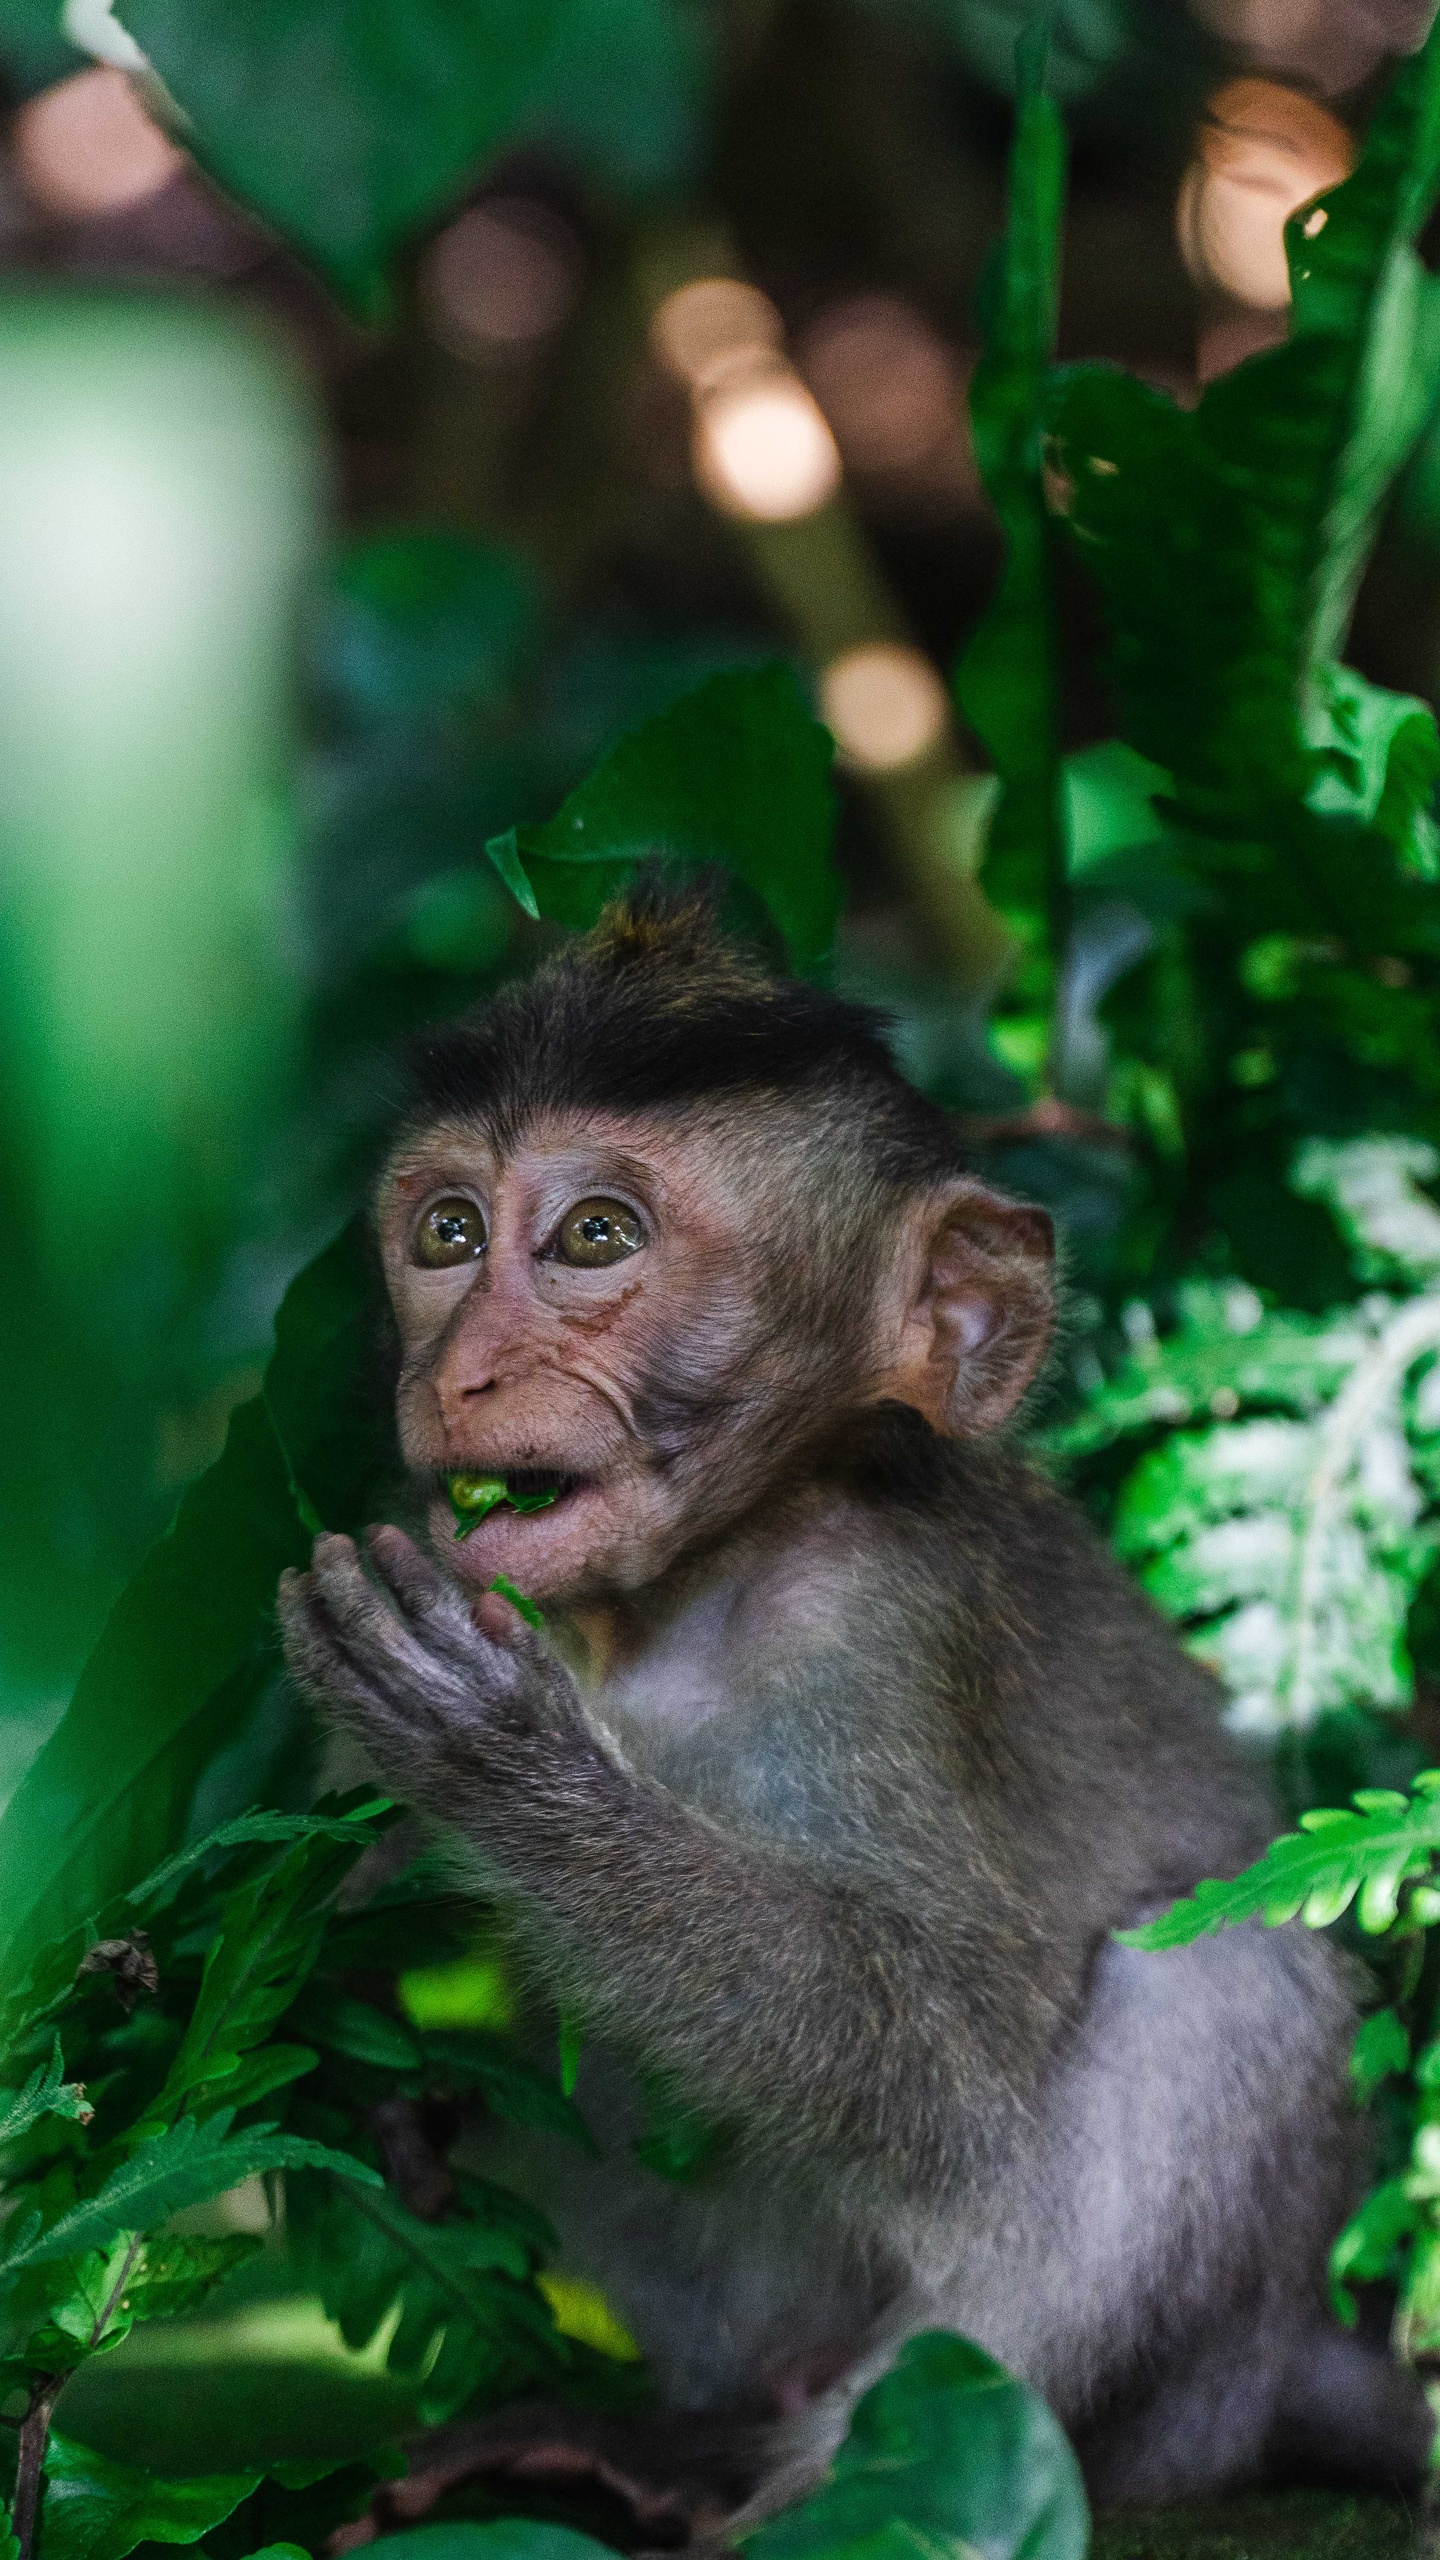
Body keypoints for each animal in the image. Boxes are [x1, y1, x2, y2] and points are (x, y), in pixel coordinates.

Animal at [274, 880, 1424, 2519]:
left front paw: (510, 1773)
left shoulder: (880, 1632)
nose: (464, 1373)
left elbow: (945, 2068)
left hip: (1192, 2394)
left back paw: (823, 2489)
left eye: (593, 1237)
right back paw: (668, 2437)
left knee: (1218, 1985)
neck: (676, 1603)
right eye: (447, 1233)